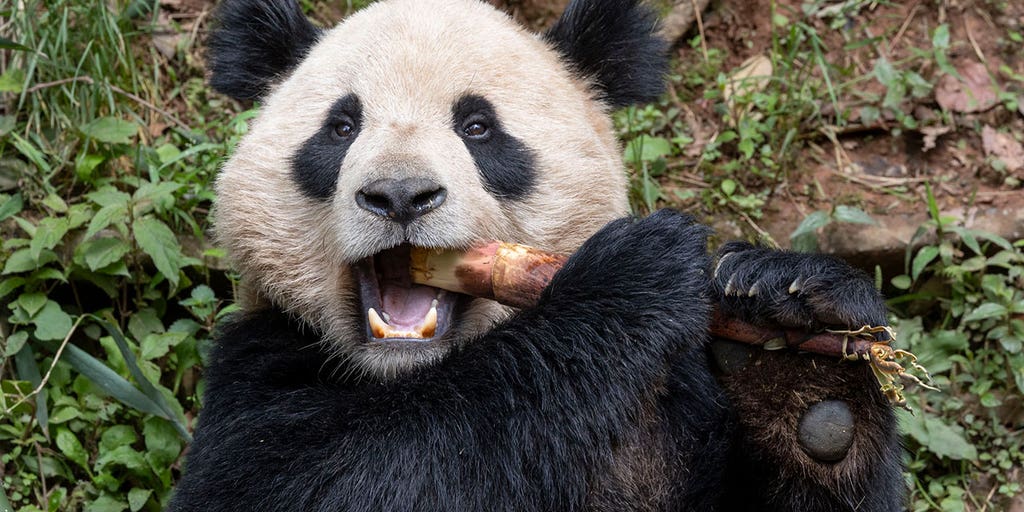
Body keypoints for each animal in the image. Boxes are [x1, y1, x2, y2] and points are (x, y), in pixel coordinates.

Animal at [169, 0, 905, 510]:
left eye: (478, 127)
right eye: (341, 127)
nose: (400, 195)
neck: (412, 375)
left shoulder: (677, 402)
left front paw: (793, 335)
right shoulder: (257, 366)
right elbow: (351, 477)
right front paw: (631, 277)